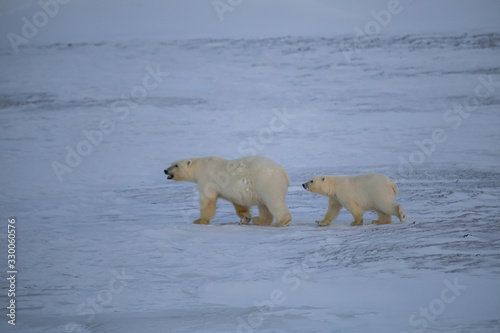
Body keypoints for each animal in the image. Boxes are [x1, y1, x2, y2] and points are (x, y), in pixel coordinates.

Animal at [164, 156, 292, 226]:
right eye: (171, 164)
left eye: (176, 165)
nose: (165, 170)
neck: (202, 166)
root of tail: (283, 172)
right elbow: (238, 202)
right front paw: (245, 218)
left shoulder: (207, 179)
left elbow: (207, 200)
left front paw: (199, 220)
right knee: (263, 205)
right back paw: (259, 220)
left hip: (266, 181)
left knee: (273, 201)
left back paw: (282, 222)